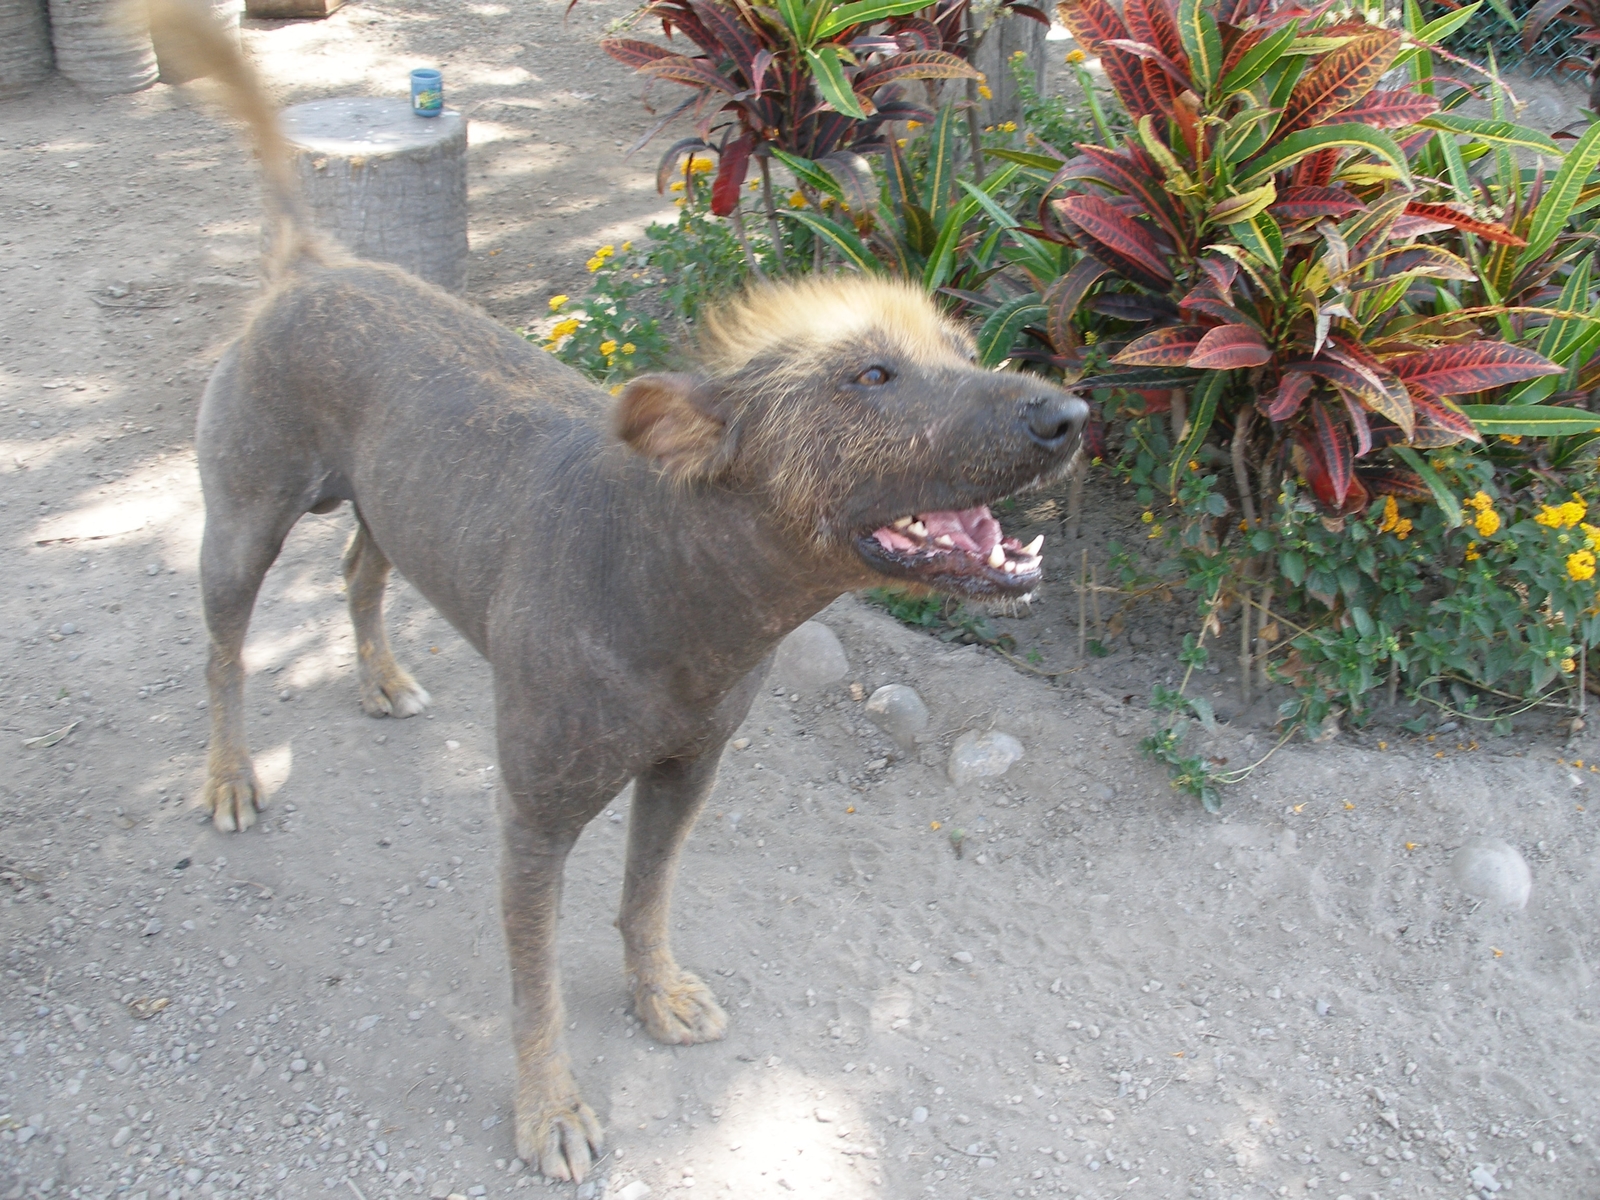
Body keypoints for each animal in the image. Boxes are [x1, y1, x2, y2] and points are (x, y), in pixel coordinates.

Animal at [152, 0, 1088, 1184]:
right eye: (869, 375)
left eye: (963, 349)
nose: (1069, 414)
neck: (672, 585)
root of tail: (311, 268)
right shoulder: (532, 825)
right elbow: (535, 991)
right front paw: (548, 1109)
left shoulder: (686, 776)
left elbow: (645, 901)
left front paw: (653, 995)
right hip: (240, 528)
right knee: (222, 655)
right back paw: (230, 775)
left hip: (389, 508)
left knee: (360, 572)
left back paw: (381, 678)